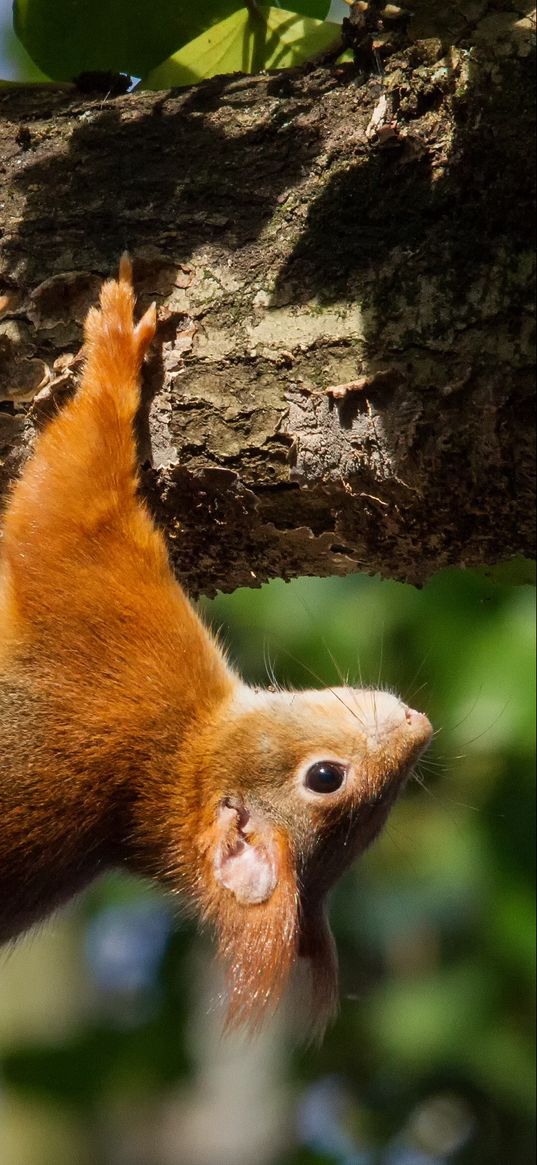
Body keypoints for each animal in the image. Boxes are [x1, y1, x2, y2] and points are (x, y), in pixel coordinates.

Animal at [0, 259, 428, 1034]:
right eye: (328, 778)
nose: (420, 723)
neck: (179, 755)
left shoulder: (122, 634)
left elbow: (67, 504)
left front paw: (114, 346)